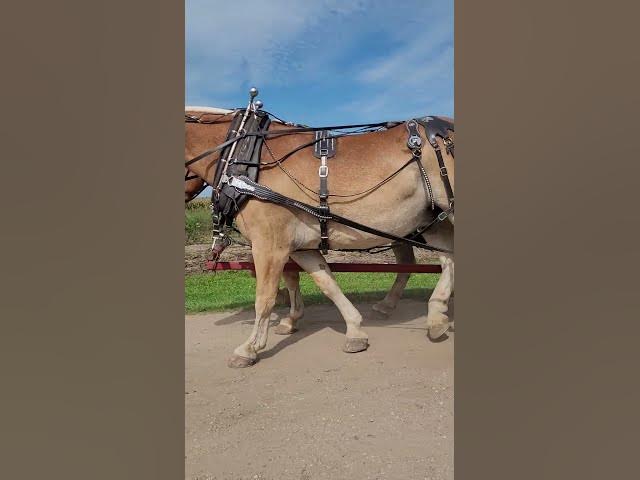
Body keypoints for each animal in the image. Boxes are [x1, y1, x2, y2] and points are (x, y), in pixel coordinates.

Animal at [185, 106, 454, 368]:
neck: (246, 158)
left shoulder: (269, 245)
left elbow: (265, 297)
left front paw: (249, 348)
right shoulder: (301, 248)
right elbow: (326, 283)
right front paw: (354, 330)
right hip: (429, 220)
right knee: (446, 258)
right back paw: (435, 315)